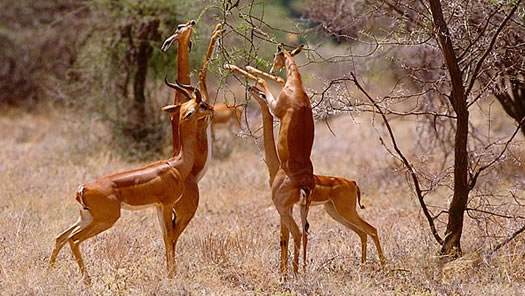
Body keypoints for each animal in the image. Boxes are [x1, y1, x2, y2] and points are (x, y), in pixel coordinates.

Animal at [48, 84, 213, 284]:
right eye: (201, 106)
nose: (212, 108)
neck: (177, 166)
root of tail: (82, 188)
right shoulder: (167, 205)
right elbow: (169, 237)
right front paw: (171, 275)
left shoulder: (158, 207)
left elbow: (166, 237)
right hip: (105, 220)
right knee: (74, 240)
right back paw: (87, 280)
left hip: (86, 218)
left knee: (60, 237)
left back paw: (48, 273)